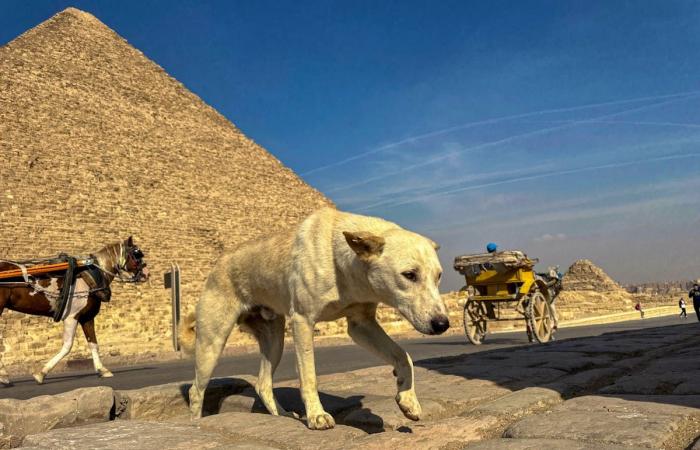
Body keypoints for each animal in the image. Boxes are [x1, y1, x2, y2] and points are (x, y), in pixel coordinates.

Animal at [0, 237, 148, 384]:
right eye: (137, 254)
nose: (147, 274)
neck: (91, 276)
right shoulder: (72, 316)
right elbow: (68, 346)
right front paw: (41, 373)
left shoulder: (87, 317)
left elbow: (93, 344)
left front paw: (102, 369)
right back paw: (4, 375)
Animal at [179, 207, 448, 428]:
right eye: (409, 274)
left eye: (439, 276)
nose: (442, 324)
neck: (341, 263)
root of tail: (216, 265)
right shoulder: (303, 321)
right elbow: (309, 376)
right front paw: (317, 416)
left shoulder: (361, 325)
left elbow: (404, 356)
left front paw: (408, 399)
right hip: (212, 343)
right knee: (195, 390)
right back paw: (196, 424)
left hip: (274, 340)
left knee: (263, 384)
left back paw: (282, 416)